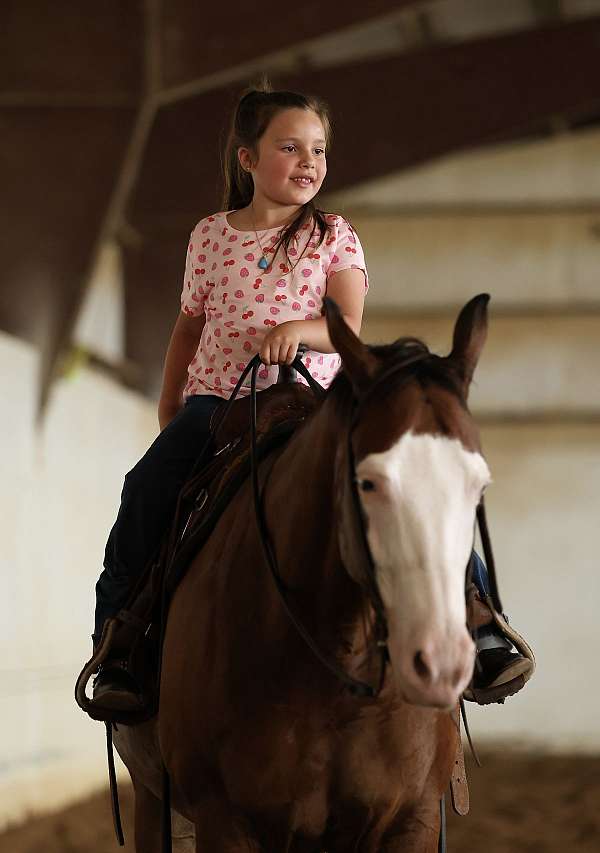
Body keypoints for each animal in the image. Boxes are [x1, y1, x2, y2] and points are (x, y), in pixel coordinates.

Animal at [113, 293, 492, 853]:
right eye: (368, 482)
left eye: (478, 485)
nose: (439, 661)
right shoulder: (224, 822)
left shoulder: (415, 819)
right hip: (152, 799)